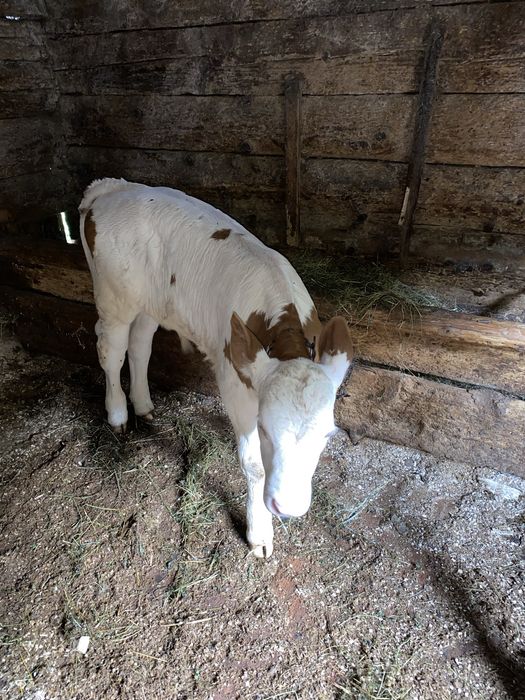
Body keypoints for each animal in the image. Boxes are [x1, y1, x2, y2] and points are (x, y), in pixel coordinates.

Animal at [79, 178, 352, 558]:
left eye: (327, 436)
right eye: (265, 429)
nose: (288, 507)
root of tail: (110, 188)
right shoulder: (235, 386)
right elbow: (254, 466)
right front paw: (259, 533)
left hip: (153, 303)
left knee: (140, 345)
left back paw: (144, 404)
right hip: (114, 298)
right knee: (111, 351)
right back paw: (118, 413)